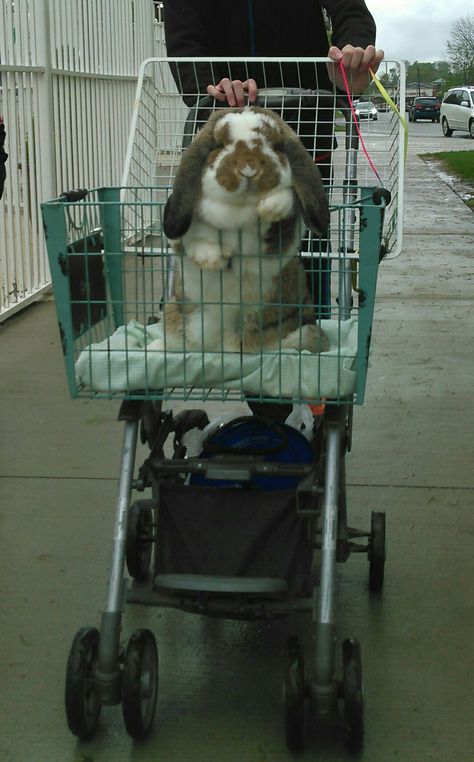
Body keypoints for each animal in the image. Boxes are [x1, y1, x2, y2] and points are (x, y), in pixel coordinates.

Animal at [152, 105, 330, 354]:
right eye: (219, 145)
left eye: (274, 145)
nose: (248, 168)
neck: (238, 209)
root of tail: (219, 348)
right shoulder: (181, 237)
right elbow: (191, 240)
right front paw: (212, 259)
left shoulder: (285, 236)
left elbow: (288, 197)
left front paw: (271, 207)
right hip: (175, 316)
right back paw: (155, 347)